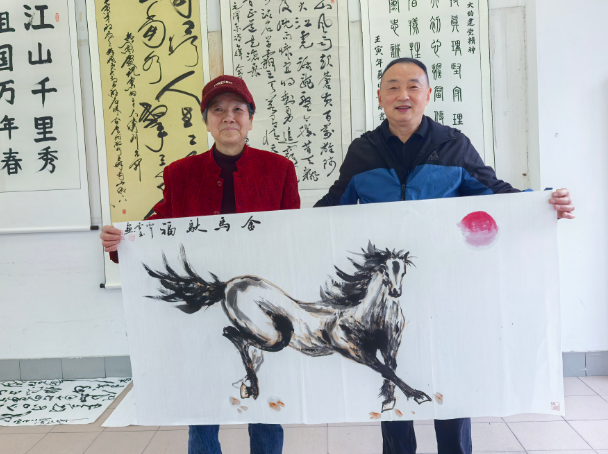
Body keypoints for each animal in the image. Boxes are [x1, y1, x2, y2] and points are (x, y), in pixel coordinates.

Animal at [143, 242, 432, 412]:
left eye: (402, 270)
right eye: (384, 269)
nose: (395, 292)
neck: (368, 316)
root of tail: (228, 284)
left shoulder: (391, 345)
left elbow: (390, 368)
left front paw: (389, 399)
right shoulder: (352, 349)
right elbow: (385, 369)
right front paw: (418, 395)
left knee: (246, 346)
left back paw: (248, 386)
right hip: (274, 335)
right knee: (234, 335)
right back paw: (252, 387)